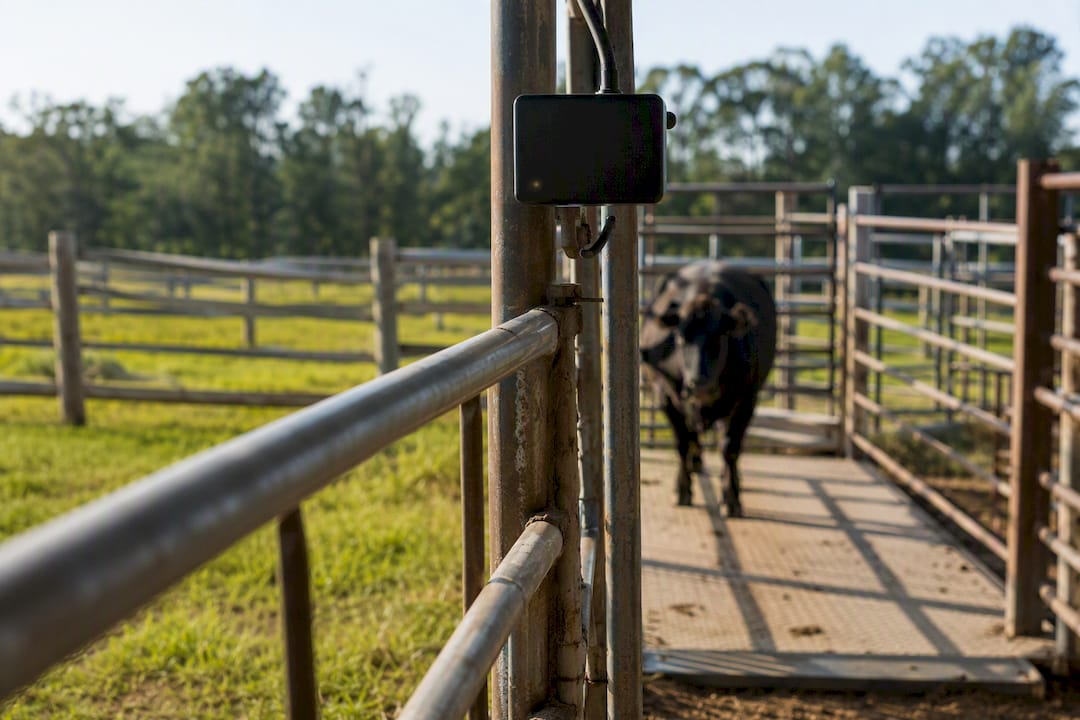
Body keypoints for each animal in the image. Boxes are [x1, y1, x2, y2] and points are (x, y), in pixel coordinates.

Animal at [640, 262, 777, 517]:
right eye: (680, 337)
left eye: (719, 337)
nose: (698, 383)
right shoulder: (666, 397)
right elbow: (683, 443)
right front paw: (683, 490)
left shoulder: (746, 399)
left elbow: (730, 448)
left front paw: (732, 497)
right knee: (694, 439)